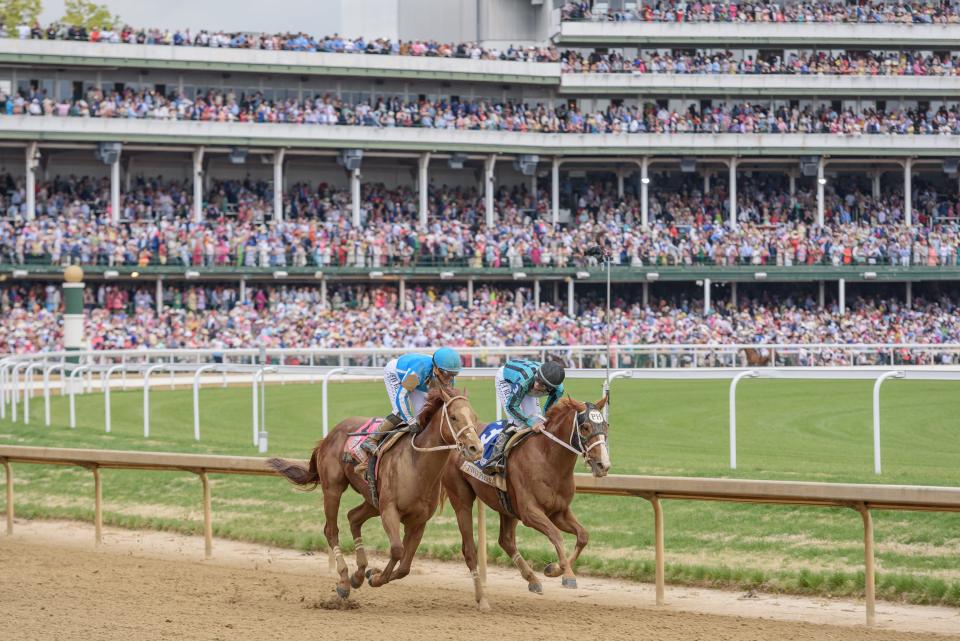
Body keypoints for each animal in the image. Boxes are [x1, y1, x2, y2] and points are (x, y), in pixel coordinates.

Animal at [268, 384, 480, 600]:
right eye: (453, 417)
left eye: (474, 416)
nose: (475, 448)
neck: (417, 465)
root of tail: (330, 434)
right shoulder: (389, 510)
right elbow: (397, 550)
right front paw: (376, 578)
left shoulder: (418, 522)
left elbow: (405, 567)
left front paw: (372, 573)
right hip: (333, 488)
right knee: (331, 530)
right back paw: (344, 580)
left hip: (372, 499)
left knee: (353, 517)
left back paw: (358, 574)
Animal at [440, 396, 608, 608]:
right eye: (585, 427)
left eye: (606, 425)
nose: (603, 465)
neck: (548, 459)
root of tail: (455, 444)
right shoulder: (530, 512)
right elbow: (556, 535)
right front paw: (568, 575)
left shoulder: (559, 512)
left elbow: (583, 535)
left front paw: (553, 569)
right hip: (461, 498)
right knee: (471, 546)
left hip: (506, 506)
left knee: (506, 540)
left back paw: (532, 579)